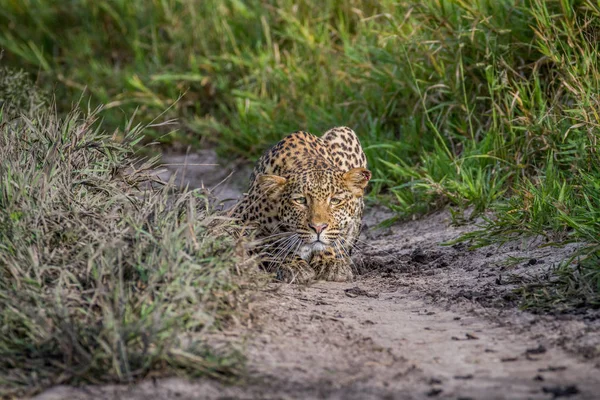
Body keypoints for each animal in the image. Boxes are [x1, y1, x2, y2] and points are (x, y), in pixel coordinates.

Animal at [233, 126, 370, 282]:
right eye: (300, 200)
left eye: (335, 201)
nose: (318, 228)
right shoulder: (238, 221)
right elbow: (271, 245)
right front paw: (292, 265)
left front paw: (330, 262)